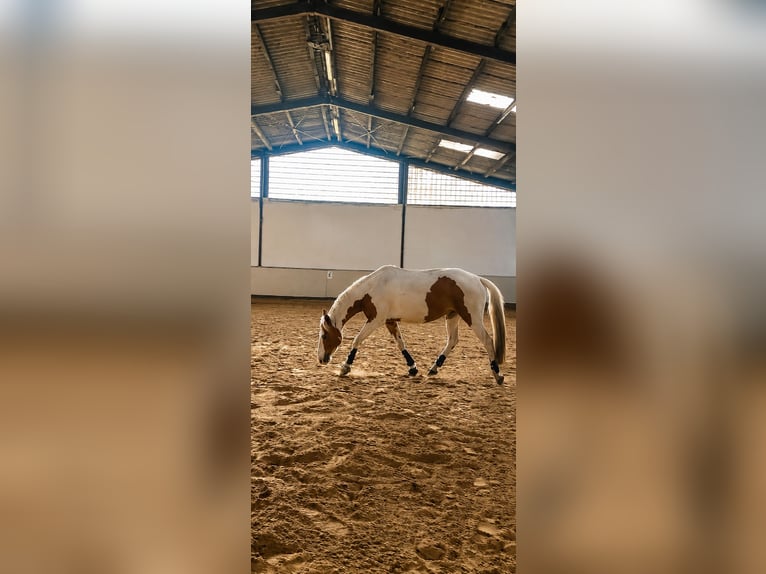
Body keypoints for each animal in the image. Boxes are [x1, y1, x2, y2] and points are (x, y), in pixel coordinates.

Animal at [317, 265, 507, 384]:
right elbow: (401, 343)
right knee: (452, 341)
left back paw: (498, 375)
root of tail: (478, 279)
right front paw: (413, 368)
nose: (321, 359)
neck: (372, 288)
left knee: (487, 340)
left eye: (324, 335)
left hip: (472, 318)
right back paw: (433, 369)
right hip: (453, 316)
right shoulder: (390, 321)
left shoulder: (376, 320)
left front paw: (345, 367)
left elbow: (357, 339)